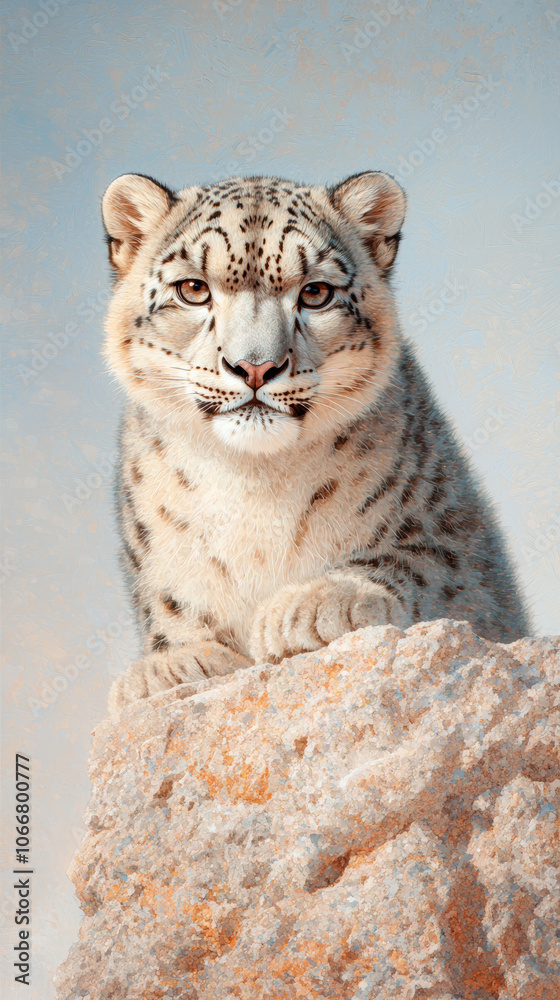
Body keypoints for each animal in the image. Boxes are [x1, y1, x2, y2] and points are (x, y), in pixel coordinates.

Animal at [101, 169, 529, 717]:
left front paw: (313, 605)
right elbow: (169, 605)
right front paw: (170, 665)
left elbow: (415, 561)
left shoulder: (453, 545)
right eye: (194, 288)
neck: (253, 481)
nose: (255, 366)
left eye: (316, 292)